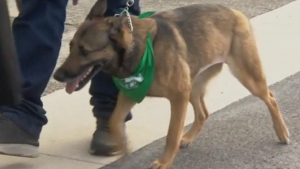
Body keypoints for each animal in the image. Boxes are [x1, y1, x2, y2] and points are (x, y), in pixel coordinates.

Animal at [52, 0, 290, 168]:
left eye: (85, 51)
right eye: (70, 46)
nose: (57, 75)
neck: (141, 49)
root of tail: (234, 11)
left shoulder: (178, 97)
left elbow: (171, 134)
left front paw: (164, 161)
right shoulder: (128, 95)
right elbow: (113, 120)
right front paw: (122, 145)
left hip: (247, 77)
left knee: (270, 98)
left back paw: (282, 132)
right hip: (194, 85)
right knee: (203, 112)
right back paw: (189, 137)